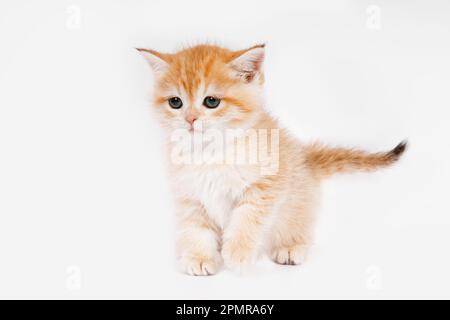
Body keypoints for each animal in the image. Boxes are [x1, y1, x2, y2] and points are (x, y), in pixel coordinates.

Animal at [135, 43, 406, 276]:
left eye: (211, 101)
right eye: (175, 102)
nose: (190, 120)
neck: (210, 151)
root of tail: (305, 158)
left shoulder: (268, 182)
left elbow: (247, 217)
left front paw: (238, 253)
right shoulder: (189, 196)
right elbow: (195, 228)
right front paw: (199, 257)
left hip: (297, 203)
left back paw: (291, 247)